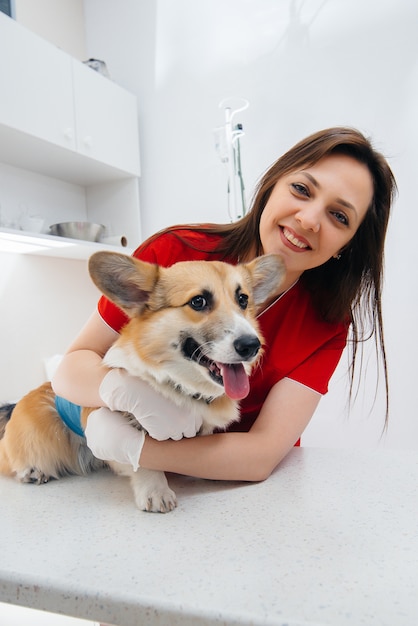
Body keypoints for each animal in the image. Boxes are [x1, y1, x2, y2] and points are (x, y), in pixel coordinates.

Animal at [0, 251, 284, 510]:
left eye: (243, 299)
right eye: (198, 301)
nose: (252, 346)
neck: (179, 386)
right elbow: (144, 456)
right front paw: (155, 490)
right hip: (40, 444)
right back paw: (32, 471)